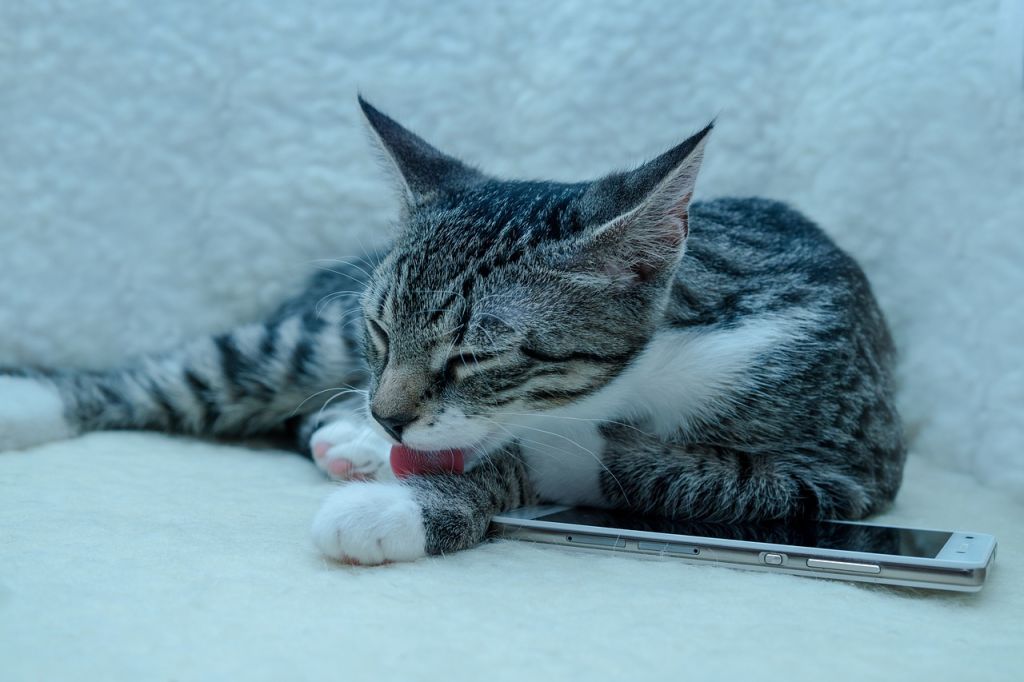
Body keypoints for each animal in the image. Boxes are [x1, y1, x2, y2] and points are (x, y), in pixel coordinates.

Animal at [0, 95, 905, 561]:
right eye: (379, 330)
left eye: (477, 355)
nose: (391, 413)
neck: (655, 364)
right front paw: (409, 482)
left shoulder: (844, 469)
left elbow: (651, 470)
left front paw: (403, 498)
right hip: (307, 336)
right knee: (202, 369)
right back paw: (32, 405)